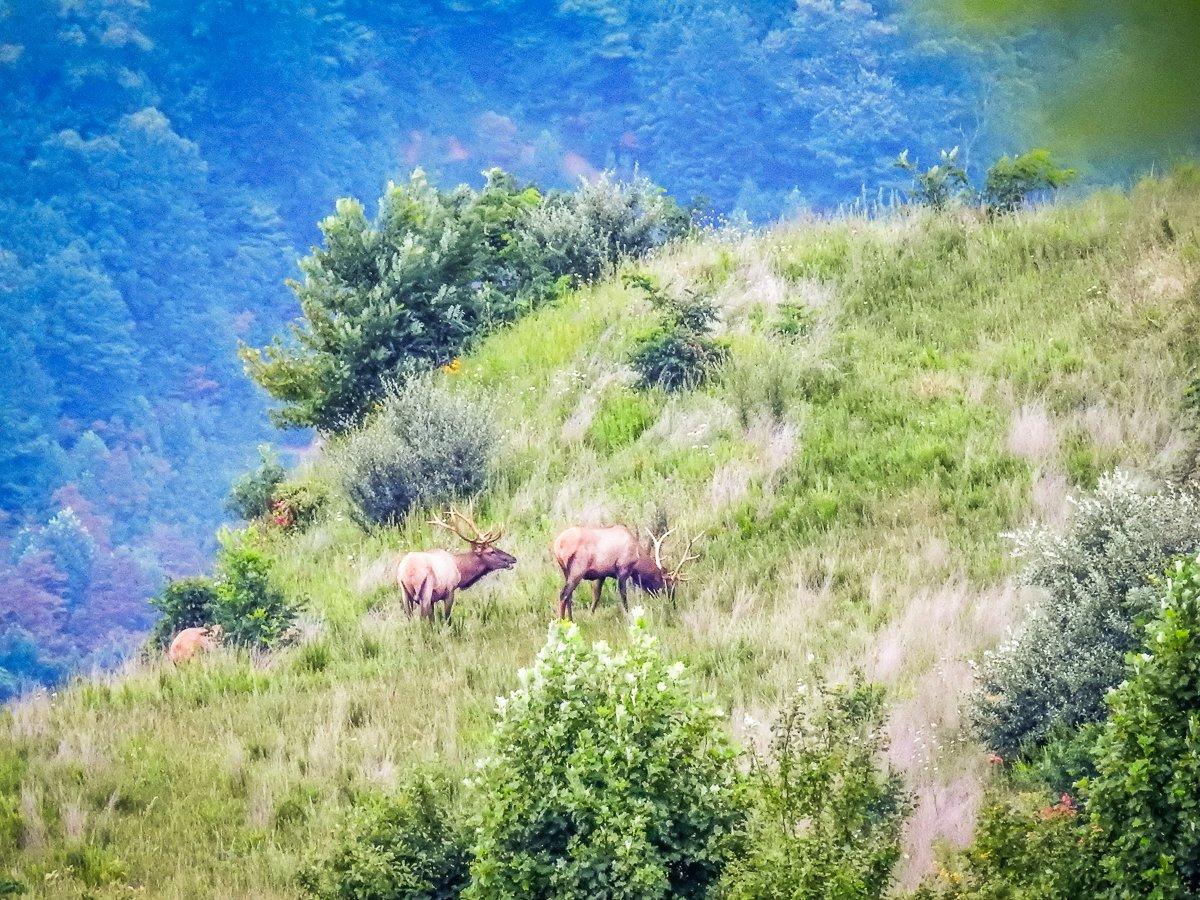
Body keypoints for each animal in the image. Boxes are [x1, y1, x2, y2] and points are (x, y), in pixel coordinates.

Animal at [552, 520, 700, 619]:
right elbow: (623, 596)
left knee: (569, 596)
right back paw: (562, 621)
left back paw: (571, 620)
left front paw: (591, 615)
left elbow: (596, 595)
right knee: (563, 594)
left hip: (566, 571)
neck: (637, 559)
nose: (673, 606)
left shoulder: (602, 574)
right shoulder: (622, 570)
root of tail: (557, 545)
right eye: (669, 586)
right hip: (578, 569)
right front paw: (628, 615)